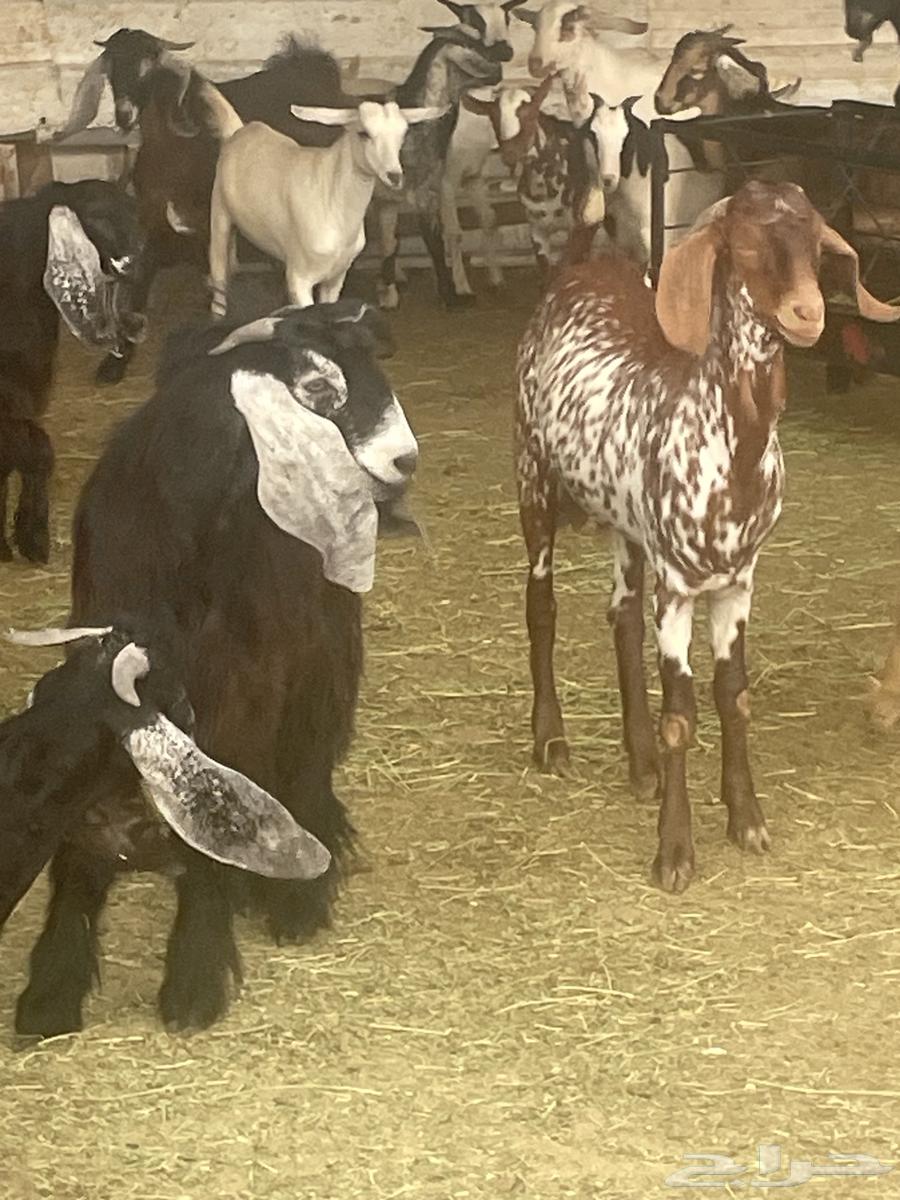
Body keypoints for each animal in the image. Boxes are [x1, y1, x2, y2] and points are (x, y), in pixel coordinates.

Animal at [60, 32, 350, 384]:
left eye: (149, 61)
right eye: (112, 67)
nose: (124, 115)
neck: (172, 155)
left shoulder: (207, 225)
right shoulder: (153, 223)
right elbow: (143, 285)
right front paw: (115, 363)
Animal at [209, 100, 444, 313]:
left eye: (402, 135)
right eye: (364, 133)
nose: (394, 176)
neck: (330, 198)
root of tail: (239, 130)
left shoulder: (336, 276)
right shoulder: (299, 279)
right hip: (219, 215)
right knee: (219, 272)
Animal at [515, 181, 900, 892]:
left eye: (815, 243)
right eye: (744, 245)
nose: (809, 313)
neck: (730, 449)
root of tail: (580, 267)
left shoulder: (737, 584)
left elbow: (734, 697)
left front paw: (745, 816)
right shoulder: (678, 588)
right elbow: (682, 717)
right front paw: (675, 852)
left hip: (624, 523)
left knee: (621, 616)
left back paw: (639, 763)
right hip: (533, 476)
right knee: (542, 606)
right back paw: (551, 739)